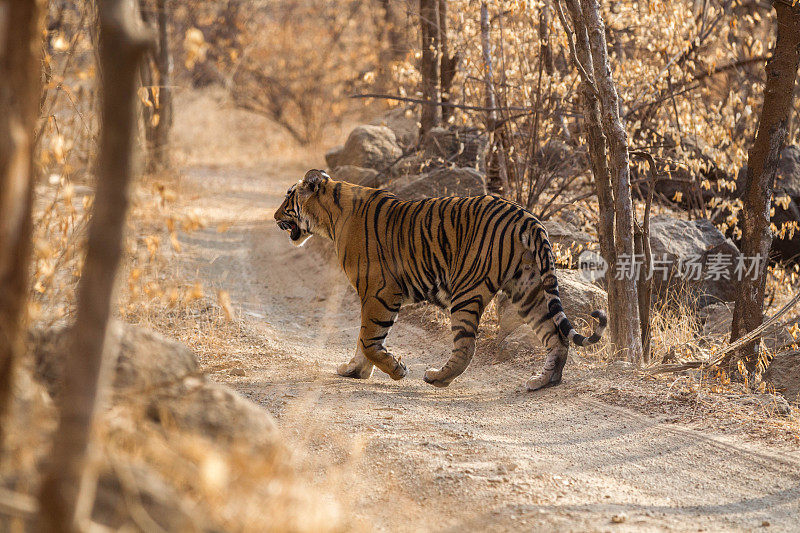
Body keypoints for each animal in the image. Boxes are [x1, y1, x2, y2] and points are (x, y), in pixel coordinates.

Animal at [276, 170, 608, 390]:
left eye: (288, 197)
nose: (275, 215)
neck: (330, 218)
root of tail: (525, 216)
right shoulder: (373, 293)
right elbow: (362, 339)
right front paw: (353, 370)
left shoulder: (378, 291)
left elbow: (369, 339)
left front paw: (396, 370)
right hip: (529, 289)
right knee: (556, 337)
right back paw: (543, 380)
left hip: (467, 290)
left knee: (467, 346)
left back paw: (437, 377)